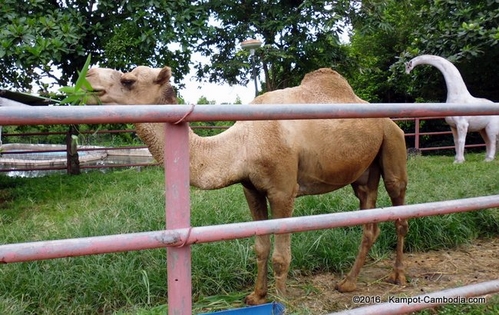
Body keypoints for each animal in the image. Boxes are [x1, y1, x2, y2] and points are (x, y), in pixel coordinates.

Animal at [84, 66, 408, 306]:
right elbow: (260, 247)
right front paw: (255, 296)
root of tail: (388, 119)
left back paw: (399, 277)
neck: (243, 143)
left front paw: (281, 302)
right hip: (364, 173)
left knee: (400, 210)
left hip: (393, 144)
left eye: (128, 80)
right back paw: (348, 283)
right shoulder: (251, 189)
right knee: (369, 221)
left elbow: (280, 255)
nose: (89, 73)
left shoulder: (282, 191)